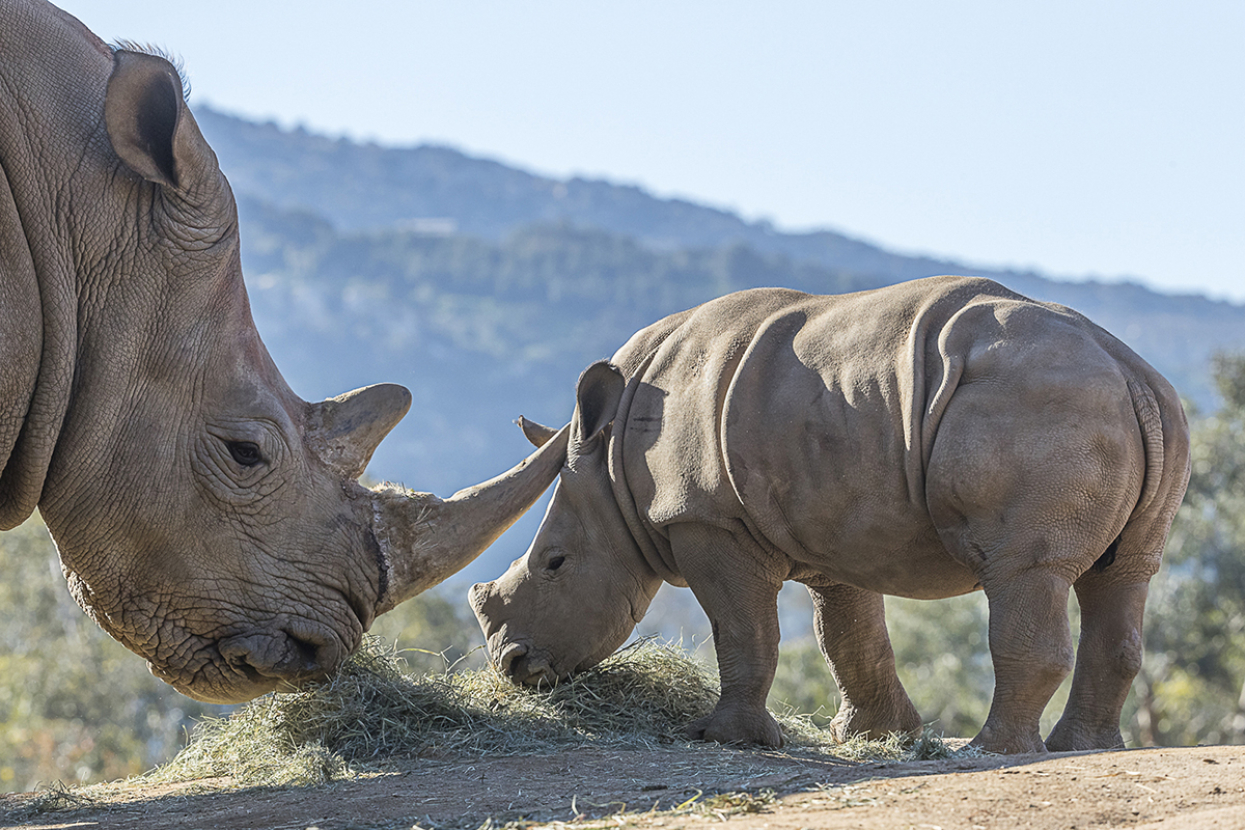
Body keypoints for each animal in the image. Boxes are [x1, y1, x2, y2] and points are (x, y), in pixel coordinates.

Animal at [471, 276, 1191, 754]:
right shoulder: (834, 522)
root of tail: (1127, 369)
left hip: (1039, 408)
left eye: (554, 563)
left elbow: (742, 629)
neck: (613, 465)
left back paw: (990, 752)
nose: (512, 666)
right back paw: (1084, 748)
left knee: (1023, 570)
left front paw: (721, 738)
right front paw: (873, 736)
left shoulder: (706, 519)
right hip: (1148, 411)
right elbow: (846, 635)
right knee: (1123, 574)